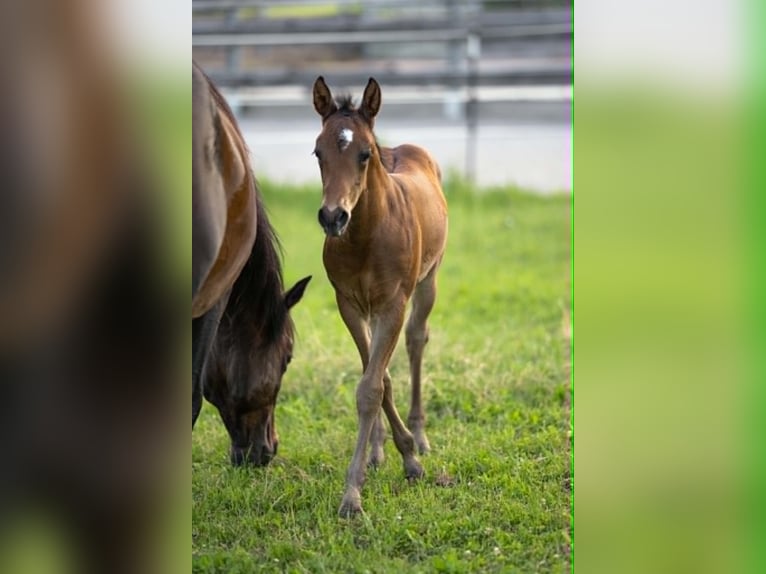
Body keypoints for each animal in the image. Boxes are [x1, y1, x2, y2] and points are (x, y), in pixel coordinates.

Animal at [312, 76, 448, 516]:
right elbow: (377, 378)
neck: (365, 237)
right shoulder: (349, 305)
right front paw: (389, 454)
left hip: (428, 279)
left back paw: (420, 436)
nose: (332, 217)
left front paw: (356, 492)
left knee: (417, 339)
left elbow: (372, 386)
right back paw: (378, 450)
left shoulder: (394, 303)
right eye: (317, 152)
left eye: (364, 154)